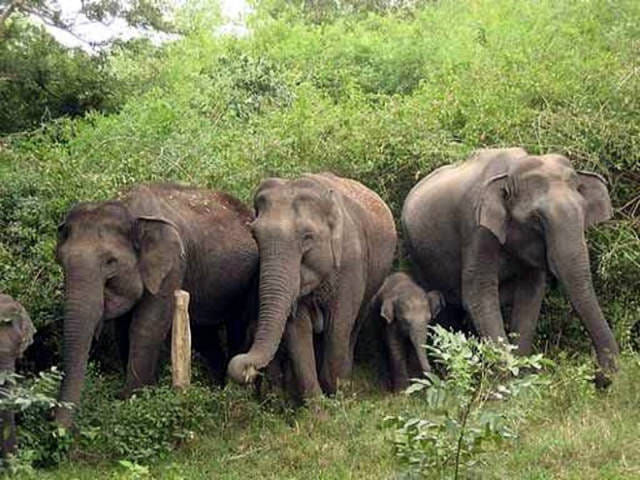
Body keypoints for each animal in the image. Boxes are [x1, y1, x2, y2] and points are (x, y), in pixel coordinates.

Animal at [54, 183, 258, 427]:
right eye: (60, 261)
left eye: (111, 261)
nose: (58, 430)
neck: (129, 209)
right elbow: (123, 330)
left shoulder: (172, 265)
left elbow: (146, 326)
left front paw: (132, 400)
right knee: (204, 336)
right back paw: (216, 388)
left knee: (236, 328)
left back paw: (231, 391)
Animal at [227, 172, 397, 399]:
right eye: (254, 235)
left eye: (307, 237)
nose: (248, 369)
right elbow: (297, 329)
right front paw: (317, 406)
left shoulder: (350, 264)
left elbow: (338, 324)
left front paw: (338, 397)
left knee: (354, 325)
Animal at [402, 148, 619, 386]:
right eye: (537, 219)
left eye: (583, 211)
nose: (598, 376)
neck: (510, 171)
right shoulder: (476, 230)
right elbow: (479, 295)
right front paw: (505, 382)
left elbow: (530, 295)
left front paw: (521, 377)